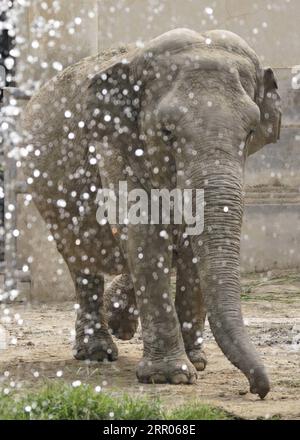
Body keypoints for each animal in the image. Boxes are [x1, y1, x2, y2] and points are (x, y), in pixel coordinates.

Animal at [21, 28, 282, 398]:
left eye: (249, 132)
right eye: (167, 132)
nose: (256, 390)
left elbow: (187, 245)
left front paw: (196, 363)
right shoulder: (114, 146)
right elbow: (145, 235)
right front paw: (170, 376)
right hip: (48, 188)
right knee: (81, 257)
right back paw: (97, 352)